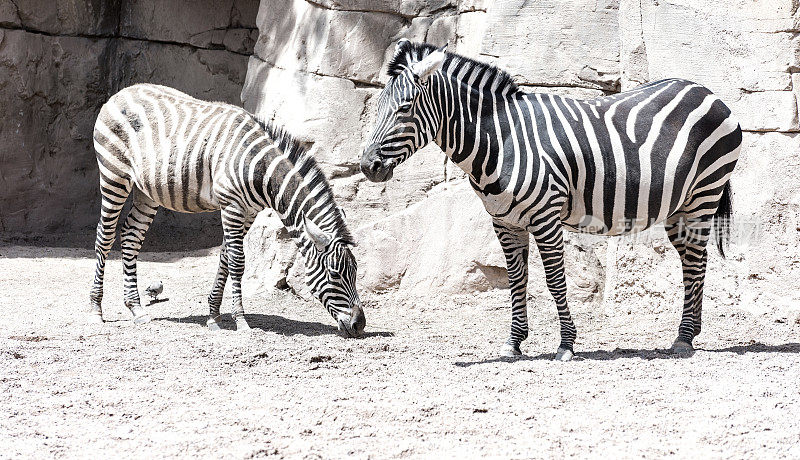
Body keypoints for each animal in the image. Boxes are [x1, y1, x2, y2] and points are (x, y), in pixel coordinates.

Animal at [90, 82, 366, 336]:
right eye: (335, 275)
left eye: (355, 272)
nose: (359, 324)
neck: (261, 171)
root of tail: (123, 92)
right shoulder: (231, 205)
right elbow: (237, 261)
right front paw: (241, 321)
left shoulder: (249, 212)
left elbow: (224, 256)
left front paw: (213, 315)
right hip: (114, 175)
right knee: (105, 236)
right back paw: (96, 310)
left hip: (146, 190)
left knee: (131, 236)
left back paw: (136, 308)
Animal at [360, 40, 740, 360]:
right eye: (377, 108)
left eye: (404, 108)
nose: (367, 166)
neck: (501, 140)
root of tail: (706, 91)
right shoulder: (505, 224)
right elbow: (517, 281)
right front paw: (513, 344)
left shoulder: (545, 218)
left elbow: (555, 281)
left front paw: (566, 345)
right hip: (680, 206)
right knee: (694, 260)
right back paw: (690, 333)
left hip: (704, 192)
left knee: (695, 262)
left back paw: (683, 340)